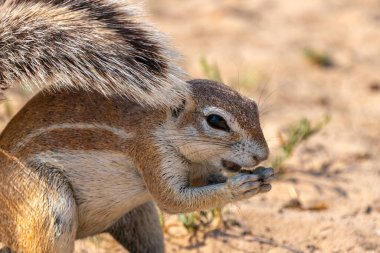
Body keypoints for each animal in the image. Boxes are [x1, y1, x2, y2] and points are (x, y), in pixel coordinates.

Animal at [0, 0, 274, 253]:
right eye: (216, 121)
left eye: (253, 106)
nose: (262, 155)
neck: (165, 128)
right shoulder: (152, 153)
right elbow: (173, 201)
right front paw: (237, 187)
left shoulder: (200, 169)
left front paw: (264, 175)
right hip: (49, 206)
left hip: (141, 218)